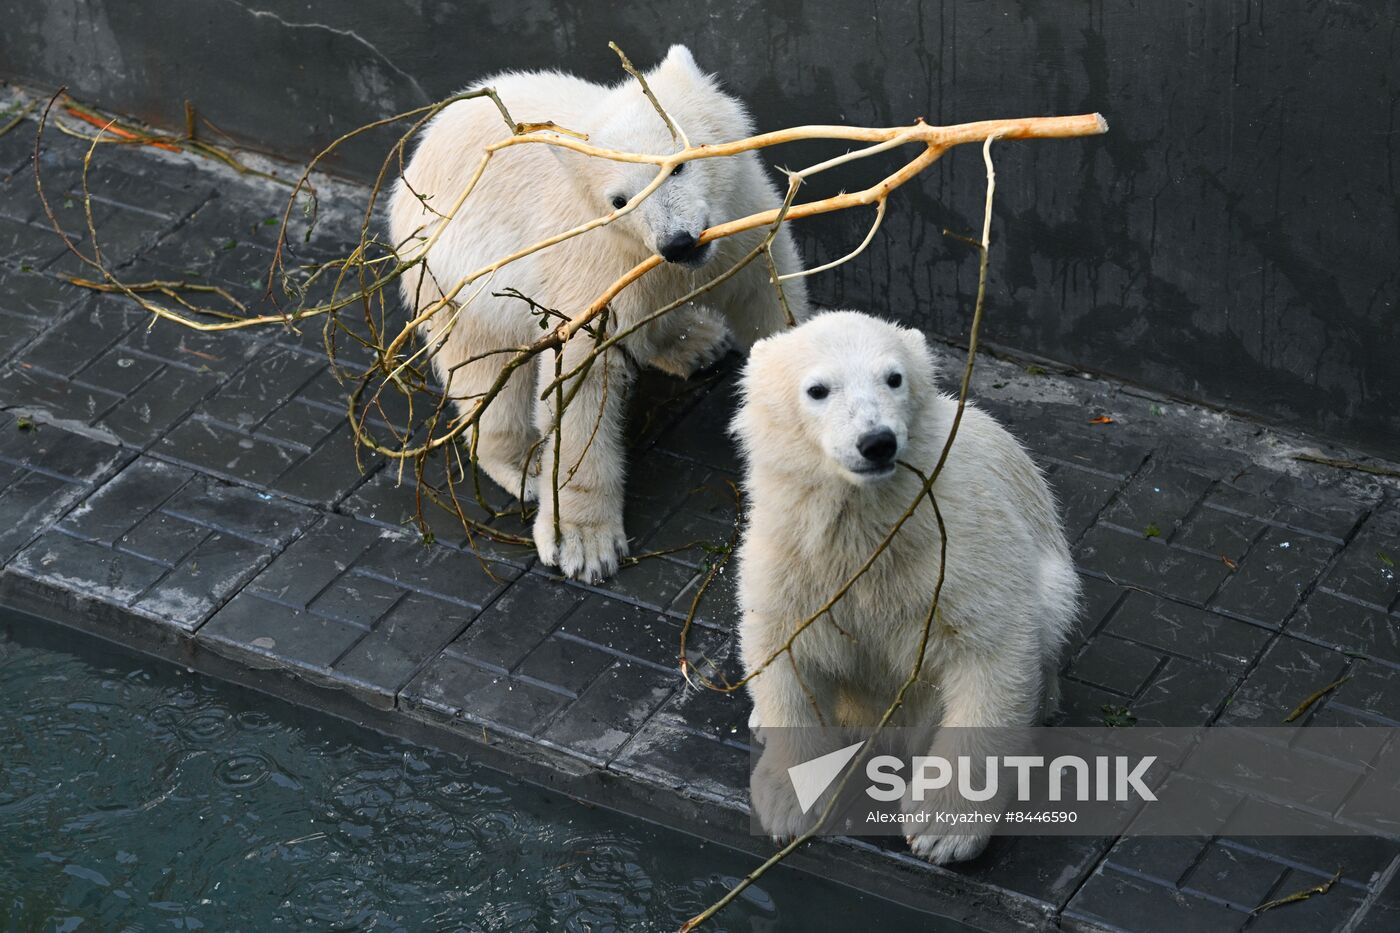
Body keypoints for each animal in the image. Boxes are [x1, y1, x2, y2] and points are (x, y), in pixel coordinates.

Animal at [388, 45, 809, 583]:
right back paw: (523, 464)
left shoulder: (743, 220)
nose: (677, 243)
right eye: (619, 200)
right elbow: (581, 380)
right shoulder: (595, 261)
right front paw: (583, 543)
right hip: (458, 273)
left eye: (676, 166)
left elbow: (766, 297)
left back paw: (697, 341)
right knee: (487, 372)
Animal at [730, 310, 1080, 864]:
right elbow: (785, 651)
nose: (876, 441)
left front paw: (943, 829)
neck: (871, 524)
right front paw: (789, 804)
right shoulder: (792, 558)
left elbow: (992, 651)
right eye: (817, 389)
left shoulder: (957, 548)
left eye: (893, 377)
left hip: (1054, 583)